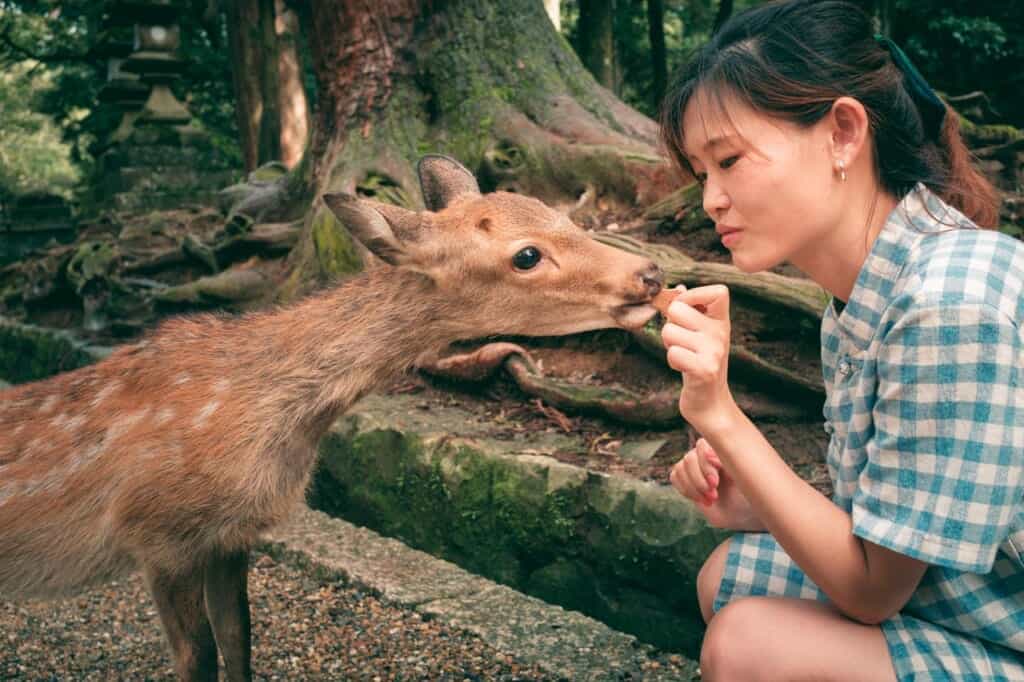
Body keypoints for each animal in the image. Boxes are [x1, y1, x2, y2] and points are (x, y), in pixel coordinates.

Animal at [0, 155, 664, 681]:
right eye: (526, 255)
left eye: (564, 216)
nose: (651, 272)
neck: (268, 423)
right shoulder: (157, 534)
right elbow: (201, 659)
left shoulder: (228, 536)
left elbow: (240, 644)